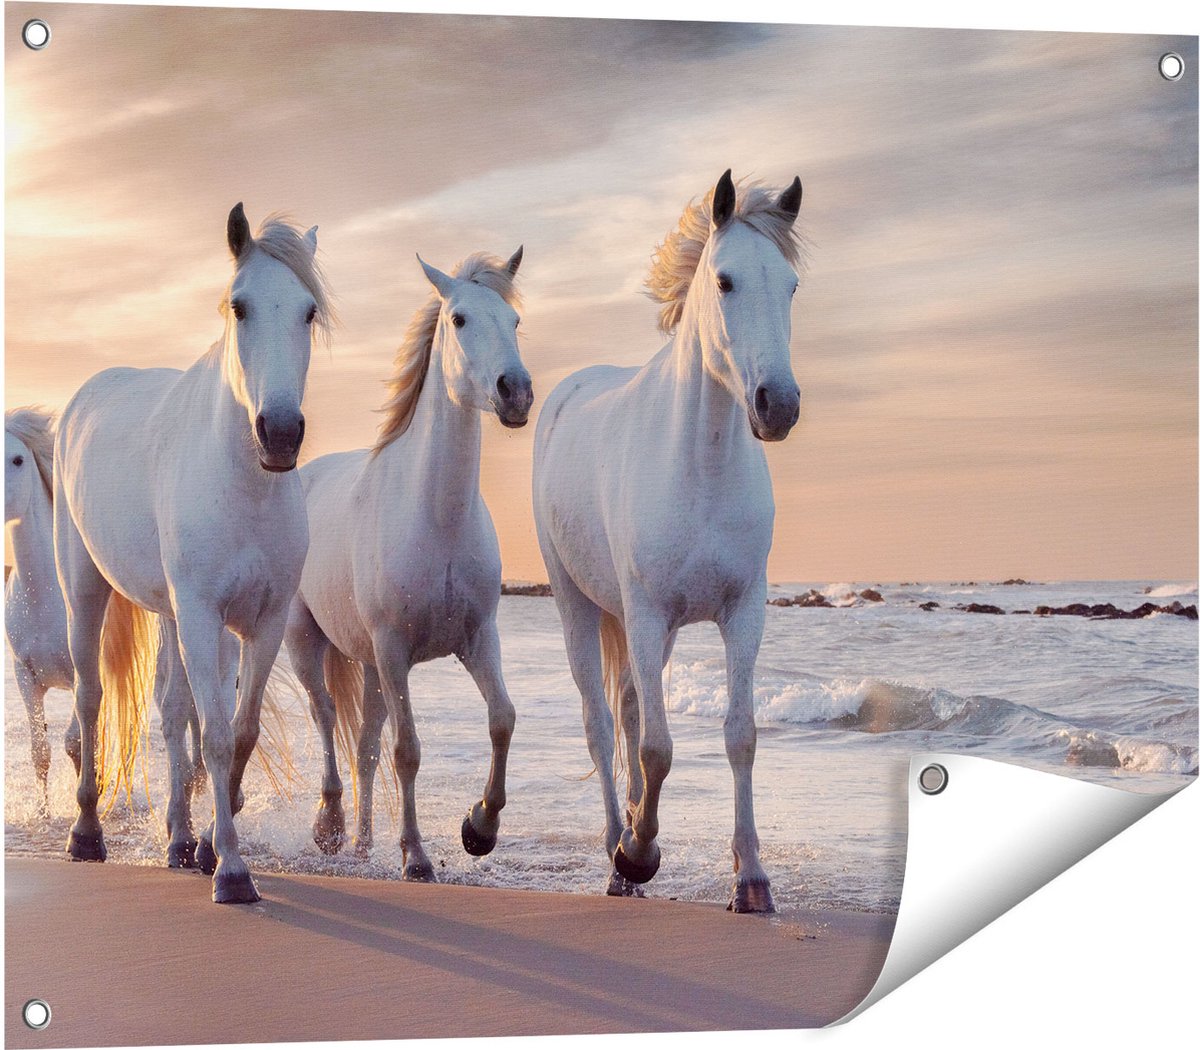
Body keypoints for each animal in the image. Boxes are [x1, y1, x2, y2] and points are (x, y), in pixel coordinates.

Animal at [5, 408, 205, 813]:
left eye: (17, 459)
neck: (42, 595)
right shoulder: (24, 676)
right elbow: (41, 752)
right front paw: (44, 813)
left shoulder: (85, 670)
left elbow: (77, 742)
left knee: (191, 713)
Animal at [53, 204, 331, 903]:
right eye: (240, 306)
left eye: (308, 311)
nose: (280, 433)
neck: (244, 485)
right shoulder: (205, 617)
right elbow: (215, 735)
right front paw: (231, 870)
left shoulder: (260, 622)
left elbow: (238, 730)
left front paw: (208, 846)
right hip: (86, 590)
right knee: (91, 698)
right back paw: (86, 834)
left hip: (172, 615)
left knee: (172, 712)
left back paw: (179, 840)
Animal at [284, 247, 530, 880]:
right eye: (460, 319)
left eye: (514, 321)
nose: (515, 392)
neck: (435, 518)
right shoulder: (395, 649)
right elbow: (408, 750)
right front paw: (416, 856)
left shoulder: (478, 638)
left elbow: (502, 719)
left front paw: (479, 828)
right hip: (307, 641)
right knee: (326, 717)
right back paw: (330, 827)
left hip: (370, 666)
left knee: (364, 745)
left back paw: (364, 842)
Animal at [532, 170, 804, 912]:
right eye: (725, 281)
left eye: (791, 286)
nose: (779, 406)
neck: (701, 466)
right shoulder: (648, 613)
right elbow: (657, 748)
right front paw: (640, 851)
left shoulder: (742, 612)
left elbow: (740, 736)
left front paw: (752, 879)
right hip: (578, 604)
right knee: (601, 725)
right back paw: (615, 853)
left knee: (627, 708)